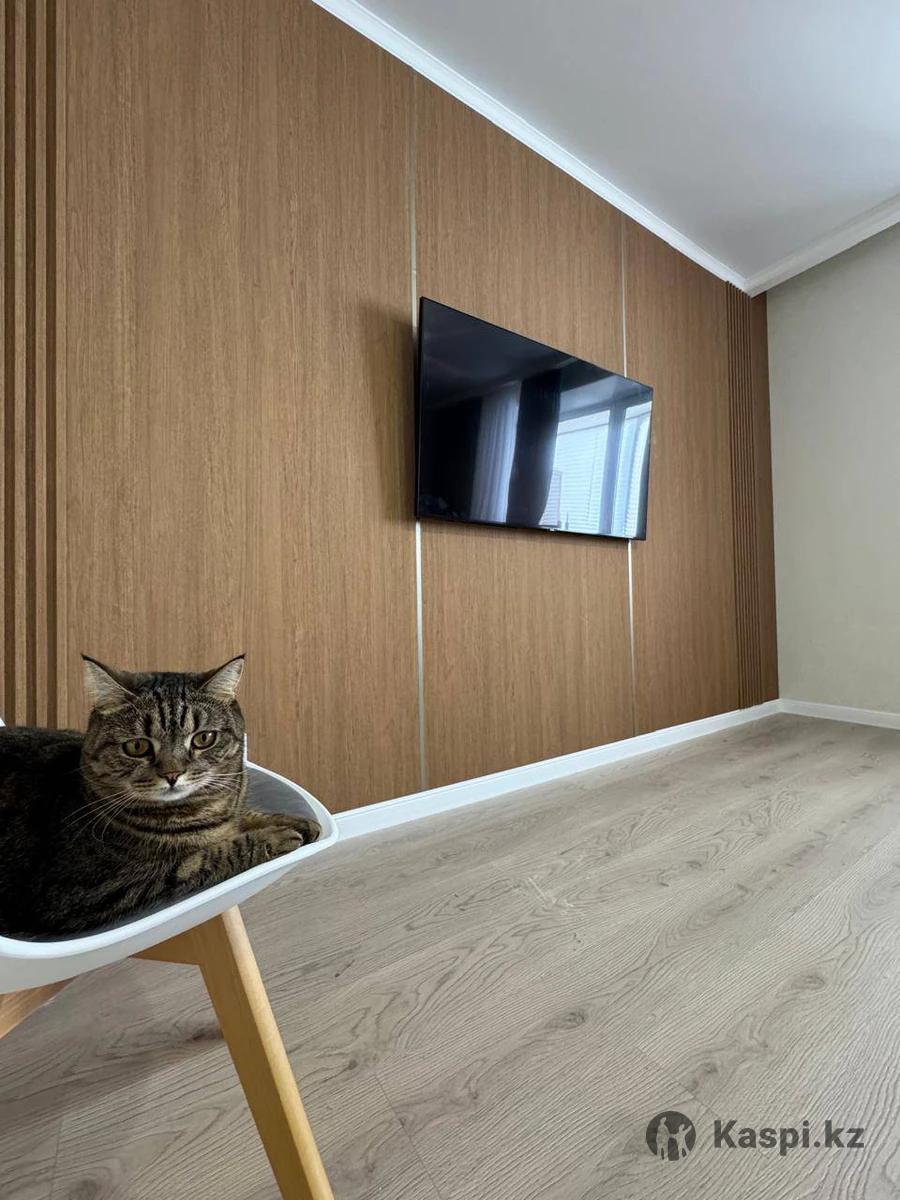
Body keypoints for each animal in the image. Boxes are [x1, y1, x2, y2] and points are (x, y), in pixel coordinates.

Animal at [0, 655, 319, 938]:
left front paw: (297, 821)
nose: (172, 774)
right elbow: (199, 859)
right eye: (137, 746)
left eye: (204, 738)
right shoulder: (90, 893)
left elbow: (247, 816)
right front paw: (276, 836)